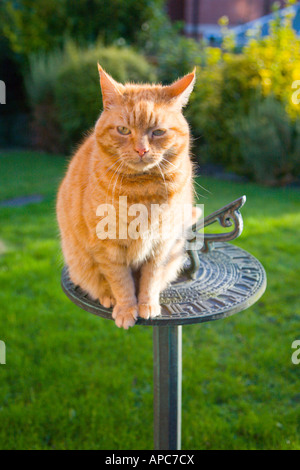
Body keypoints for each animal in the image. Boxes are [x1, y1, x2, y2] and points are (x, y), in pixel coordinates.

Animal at [57, 64, 196, 328]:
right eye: (123, 130)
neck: (142, 192)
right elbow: (121, 282)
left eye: (158, 132)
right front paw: (126, 309)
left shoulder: (161, 244)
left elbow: (150, 280)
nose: (141, 150)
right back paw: (107, 297)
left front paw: (147, 305)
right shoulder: (108, 247)